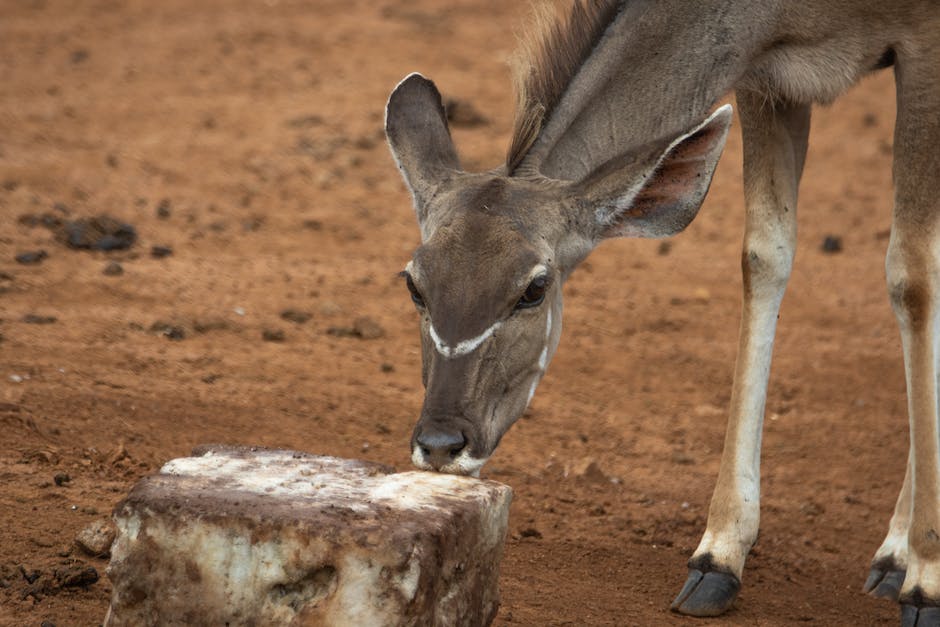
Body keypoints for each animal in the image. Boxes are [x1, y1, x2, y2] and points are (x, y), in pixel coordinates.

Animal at [384, 0, 940, 624]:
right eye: (415, 284)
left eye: (534, 288)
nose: (439, 444)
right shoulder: (768, 77)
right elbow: (764, 255)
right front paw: (718, 558)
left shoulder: (924, 46)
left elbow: (913, 276)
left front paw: (923, 577)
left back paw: (897, 557)